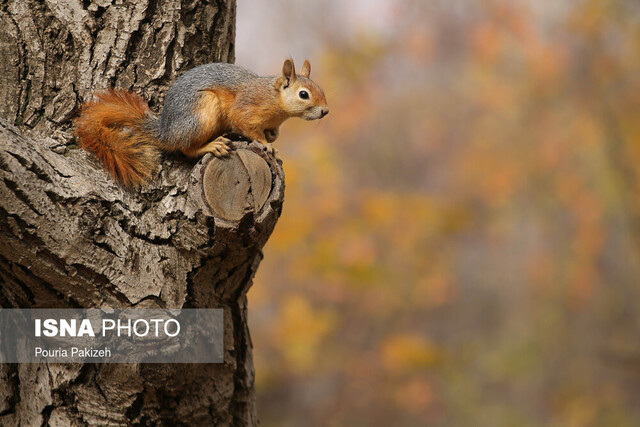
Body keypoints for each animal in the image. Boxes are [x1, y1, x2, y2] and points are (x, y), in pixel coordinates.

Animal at [76, 57, 330, 188]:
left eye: (321, 89)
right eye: (304, 94)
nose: (326, 111)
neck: (274, 99)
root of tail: (166, 131)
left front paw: (272, 136)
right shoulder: (247, 107)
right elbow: (245, 124)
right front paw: (267, 145)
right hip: (203, 112)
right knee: (186, 148)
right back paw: (211, 145)